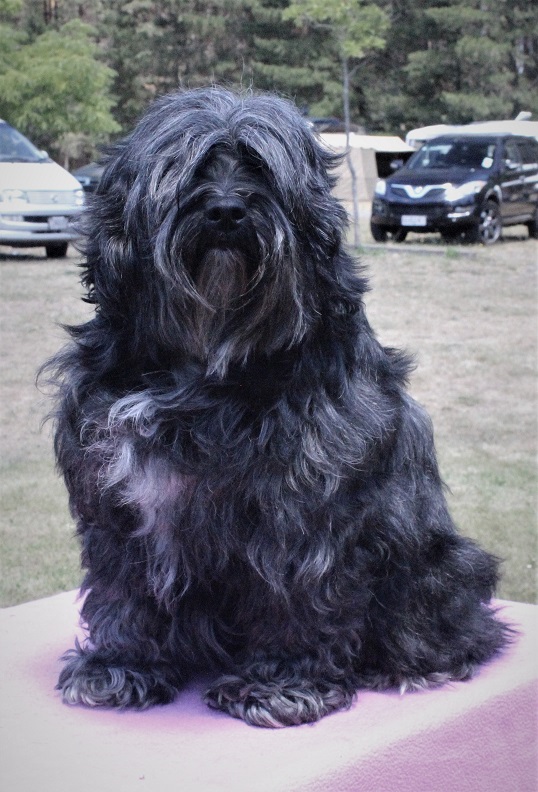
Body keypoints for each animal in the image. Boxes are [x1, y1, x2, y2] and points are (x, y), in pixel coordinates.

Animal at [43, 87, 509, 728]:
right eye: (191, 168)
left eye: (260, 169)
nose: (227, 211)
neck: (207, 357)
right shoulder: (115, 499)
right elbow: (124, 588)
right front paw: (120, 664)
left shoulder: (302, 506)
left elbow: (295, 596)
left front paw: (280, 683)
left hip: (439, 565)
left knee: (459, 630)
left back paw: (414, 666)